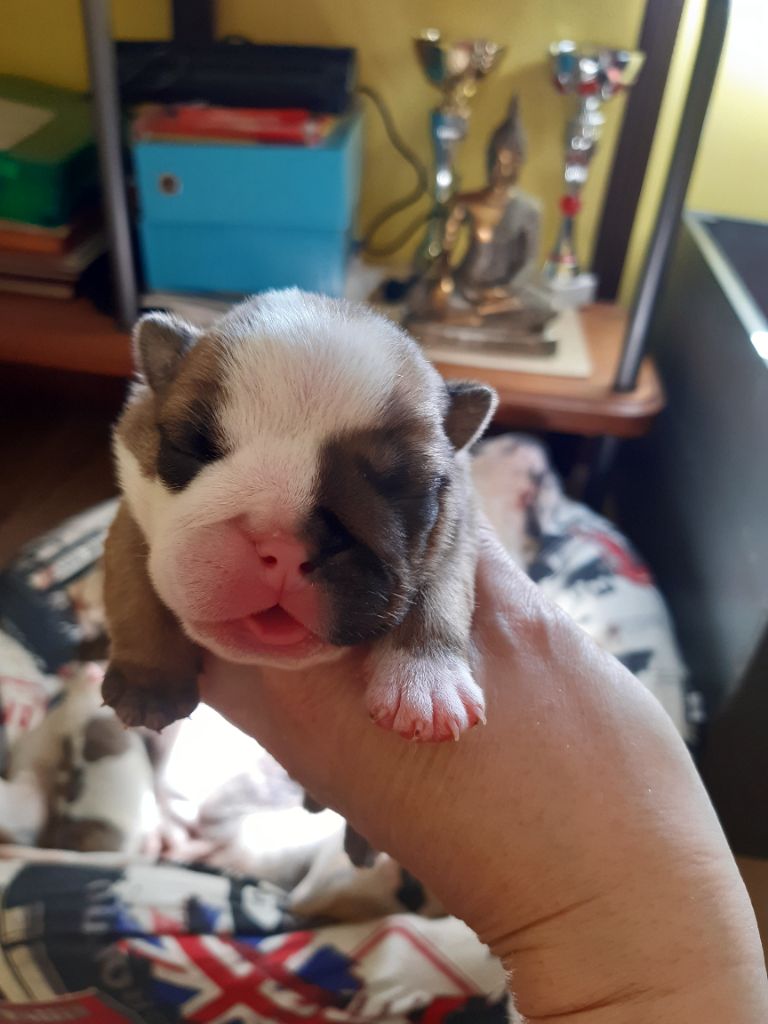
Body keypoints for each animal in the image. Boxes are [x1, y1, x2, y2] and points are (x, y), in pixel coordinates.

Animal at [102, 290, 497, 744]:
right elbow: (136, 591)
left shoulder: (461, 523)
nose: (284, 545)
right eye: (191, 448)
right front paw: (149, 681)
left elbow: (441, 592)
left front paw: (427, 679)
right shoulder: (128, 515)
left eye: (403, 486)